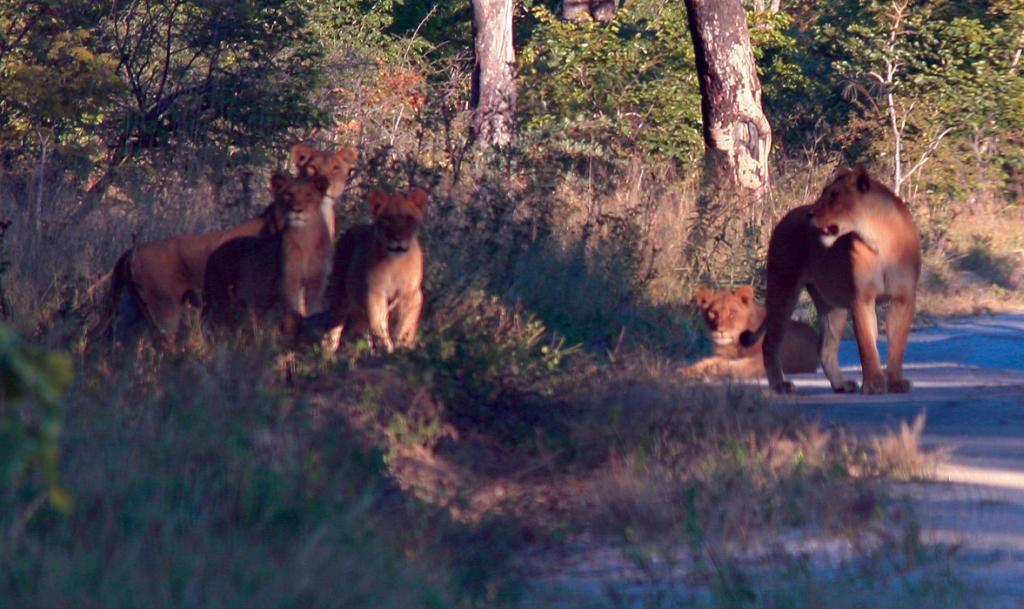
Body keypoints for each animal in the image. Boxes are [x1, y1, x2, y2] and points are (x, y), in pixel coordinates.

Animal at [197, 172, 329, 337]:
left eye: (309, 195)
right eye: (288, 195)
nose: (297, 210)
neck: (306, 240)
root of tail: (213, 253)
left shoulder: (316, 283)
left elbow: (314, 311)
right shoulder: (288, 282)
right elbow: (292, 315)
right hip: (220, 299)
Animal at [307, 188, 428, 354]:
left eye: (409, 218)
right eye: (387, 218)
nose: (398, 238)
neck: (395, 262)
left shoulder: (412, 295)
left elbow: (405, 326)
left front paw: (402, 347)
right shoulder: (373, 293)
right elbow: (378, 325)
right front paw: (387, 349)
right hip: (340, 294)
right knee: (335, 325)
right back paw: (328, 351)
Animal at [684, 284, 819, 378]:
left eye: (732, 313)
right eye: (713, 313)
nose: (721, 331)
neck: (735, 343)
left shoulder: (762, 362)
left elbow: (736, 366)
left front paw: (714, 369)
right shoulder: (724, 355)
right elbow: (704, 361)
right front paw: (687, 371)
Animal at [745, 166, 921, 395]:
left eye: (834, 195)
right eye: (824, 193)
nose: (810, 214)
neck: (879, 238)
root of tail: (786, 217)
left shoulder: (904, 298)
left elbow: (898, 344)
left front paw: (895, 382)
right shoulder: (861, 299)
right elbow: (867, 345)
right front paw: (873, 384)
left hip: (831, 306)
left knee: (825, 347)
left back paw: (840, 385)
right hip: (783, 288)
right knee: (770, 343)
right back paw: (780, 385)